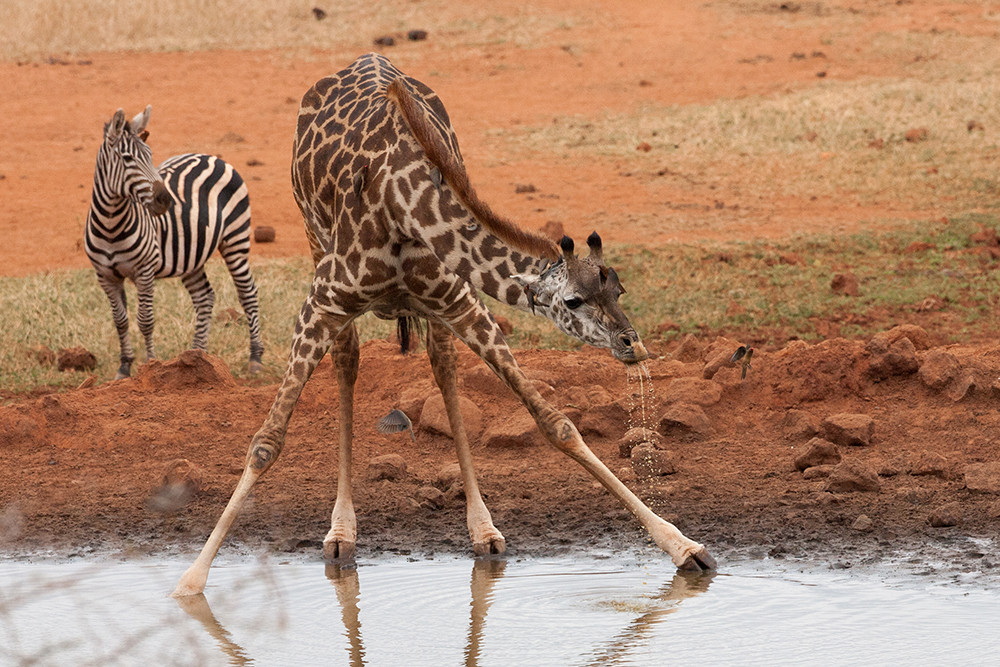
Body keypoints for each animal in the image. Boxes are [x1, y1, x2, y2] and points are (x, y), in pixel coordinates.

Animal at [172, 53, 715, 597]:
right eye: (575, 300)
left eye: (618, 289)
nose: (632, 346)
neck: (402, 205)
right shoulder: (320, 305)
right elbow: (266, 444)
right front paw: (189, 584)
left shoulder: (459, 299)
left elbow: (557, 425)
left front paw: (684, 547)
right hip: (314, 245)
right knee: (348, 360)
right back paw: (341, 533)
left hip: (434, 311)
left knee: (442, 364)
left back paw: (484, 531)